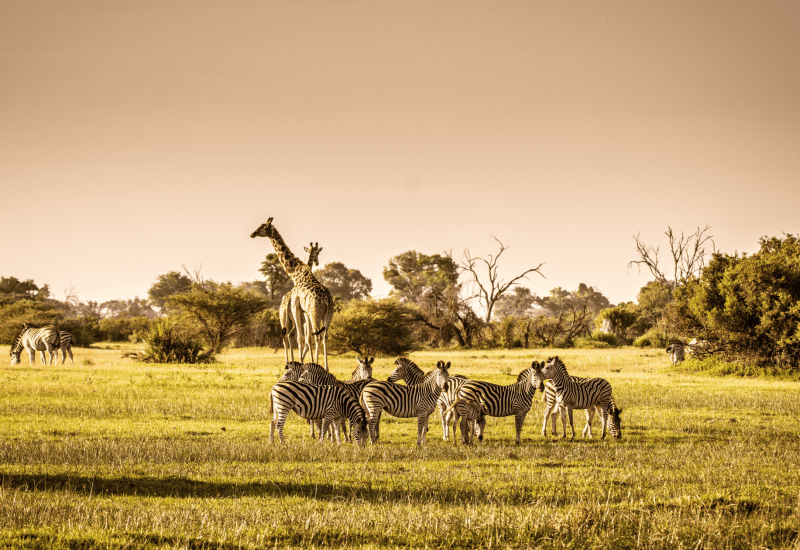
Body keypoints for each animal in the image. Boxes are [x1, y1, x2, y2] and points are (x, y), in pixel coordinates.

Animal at [252, 219, 336, 370]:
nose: (252, 234)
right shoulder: (305, 311)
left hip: (312, 314)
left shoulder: (296, 308)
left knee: (312, 336)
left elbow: (302, 339)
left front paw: (303, 364)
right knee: (323, 336)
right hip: (328, 314)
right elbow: (305, 338)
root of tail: (327, 298)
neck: (296, 274)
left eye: (264, 227)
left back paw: (310, 364)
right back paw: (325, 367)